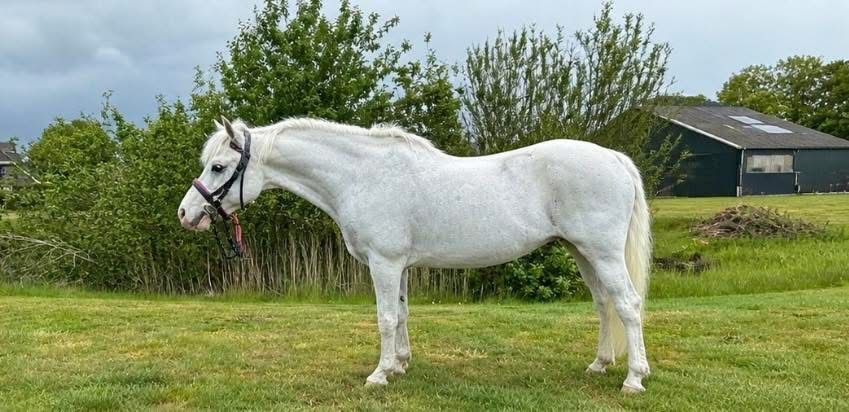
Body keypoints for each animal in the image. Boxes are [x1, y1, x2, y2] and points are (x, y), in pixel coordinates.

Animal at [177, 116, 652, 393]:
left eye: (218, 167)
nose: (186, 213)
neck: (363, 177)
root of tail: (614, 159)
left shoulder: (384, 263)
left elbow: (386, 317)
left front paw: (379, 375)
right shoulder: (399, 265)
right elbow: (403, 314)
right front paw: (401, 366)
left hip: (602, 252)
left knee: (628, 305)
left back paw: (634, 378)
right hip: (582, 252)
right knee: (604, 304)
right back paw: (599, 365)